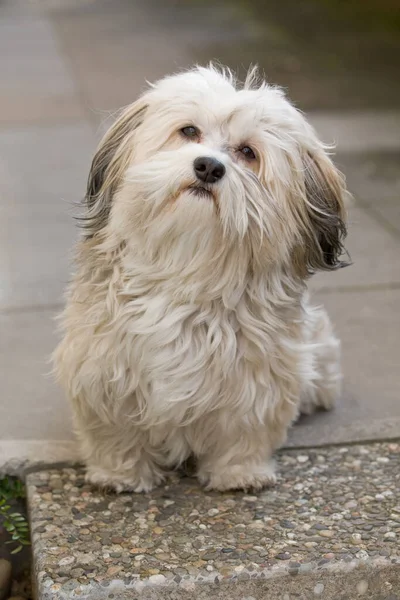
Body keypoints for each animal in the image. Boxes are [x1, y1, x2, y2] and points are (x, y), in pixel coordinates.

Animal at [54, 64, 348, 492]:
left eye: (248, 152)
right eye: (189, 131)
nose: (208, 166)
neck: (188, 269)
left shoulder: (255, 382)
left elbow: (244, 432)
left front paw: (239, 473)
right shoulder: (102, 372)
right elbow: (115, 432)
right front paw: (120, 473)